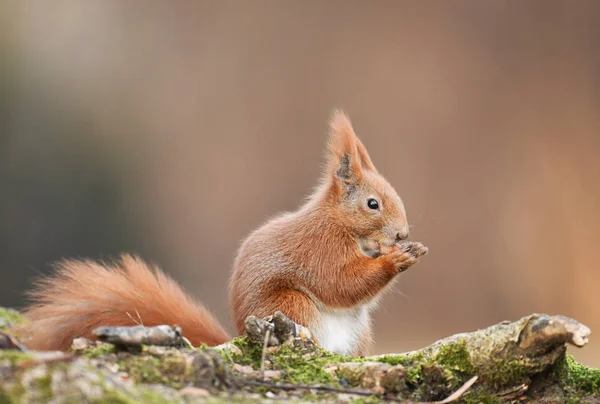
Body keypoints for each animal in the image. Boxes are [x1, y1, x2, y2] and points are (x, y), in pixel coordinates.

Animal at [18, 109, 426, 354]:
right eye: (372, 204)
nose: (402, 234)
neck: (341, 225)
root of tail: (239, 336)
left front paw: (409, 251)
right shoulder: (318, 248)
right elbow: (339, 282)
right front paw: (395, 259)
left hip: (358, 333)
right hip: (291, 306)